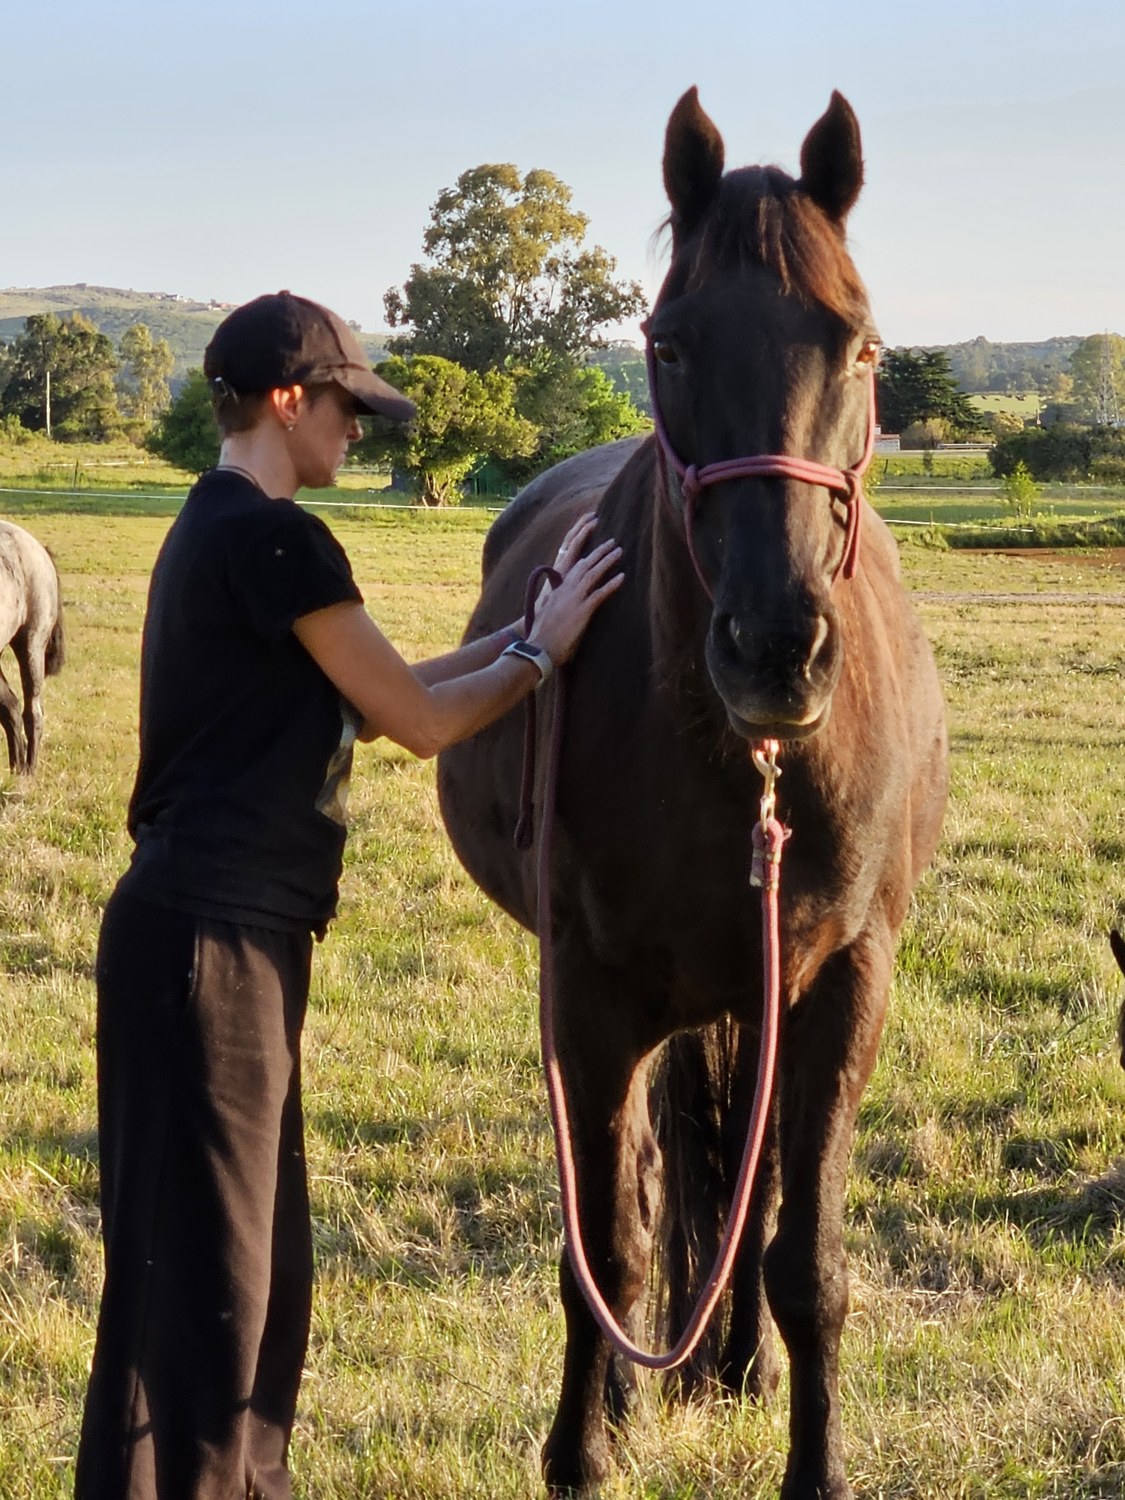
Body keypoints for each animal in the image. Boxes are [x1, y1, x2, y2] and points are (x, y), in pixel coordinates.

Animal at [437, 88, 948, 1498]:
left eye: (862, 343)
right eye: (667, 343)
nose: (776, 646)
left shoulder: (838, 983)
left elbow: (806, 1258)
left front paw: (813, 1460)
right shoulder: (589, 991)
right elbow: (605, 1240)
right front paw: (581, 1450)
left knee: (749, 1189)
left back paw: (737, 1366)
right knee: (656, 1183)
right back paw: (637, 1387)